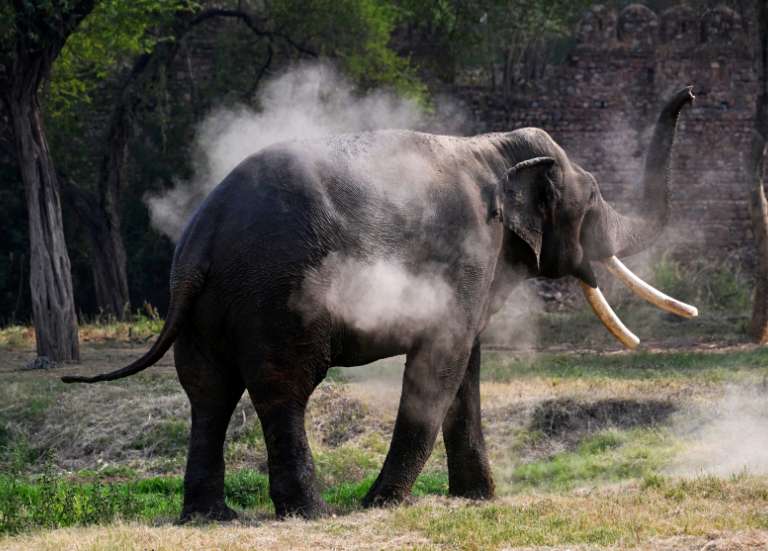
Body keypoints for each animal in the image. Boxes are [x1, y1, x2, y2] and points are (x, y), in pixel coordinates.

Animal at [63, 86, 696, 521]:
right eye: (592, 201)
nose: (689, 94)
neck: (492, 146)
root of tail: (201, 239)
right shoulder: (468, 251)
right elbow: (440, 366)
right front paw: (384, 505)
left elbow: (465, 368)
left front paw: (478, 499)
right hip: (280, 297)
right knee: (282, 389)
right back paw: (310, 513)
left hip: (207, 310)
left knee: (207, 393)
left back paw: (213, 516)